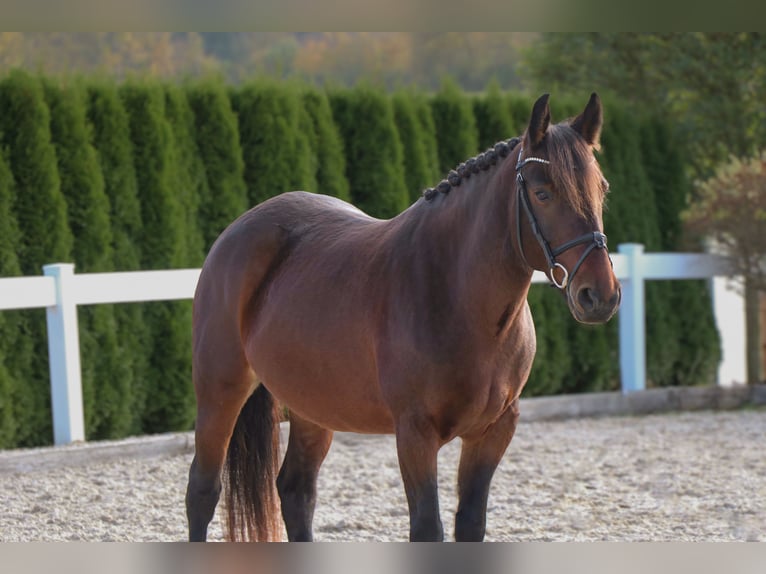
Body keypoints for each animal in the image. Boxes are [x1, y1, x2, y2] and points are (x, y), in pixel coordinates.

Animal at [186, 92, 624, 544]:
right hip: (220, 389)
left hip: (313, 405)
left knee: (296, 491)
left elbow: (471, 524)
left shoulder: (494, 431)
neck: (456, 295)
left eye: (602, 188)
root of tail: (238, 229)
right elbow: (427, 527)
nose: (599, 295)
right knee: (203, 489)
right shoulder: (415, 433)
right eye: (541, 192)